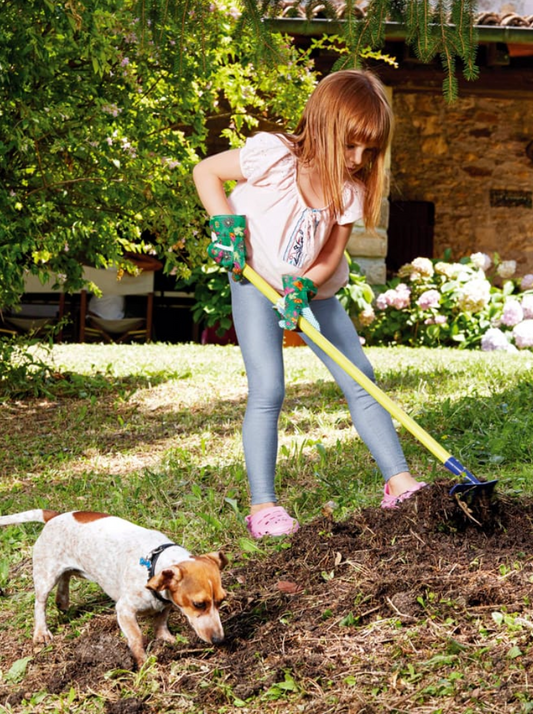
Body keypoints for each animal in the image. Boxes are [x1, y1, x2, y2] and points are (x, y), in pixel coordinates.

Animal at [0, 508, 227, 664]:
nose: (219, 640)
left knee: (65, 578)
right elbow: (136, 637)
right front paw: (143, 662)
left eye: (221, 601)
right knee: (40, 603)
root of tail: (55, 516)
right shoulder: (125, 610)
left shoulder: (166, 603)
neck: (154, 563)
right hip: (45, 575)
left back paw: (62, 601)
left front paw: (166, 639)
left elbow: (161, 622)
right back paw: (41, 632)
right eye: (198, 604)